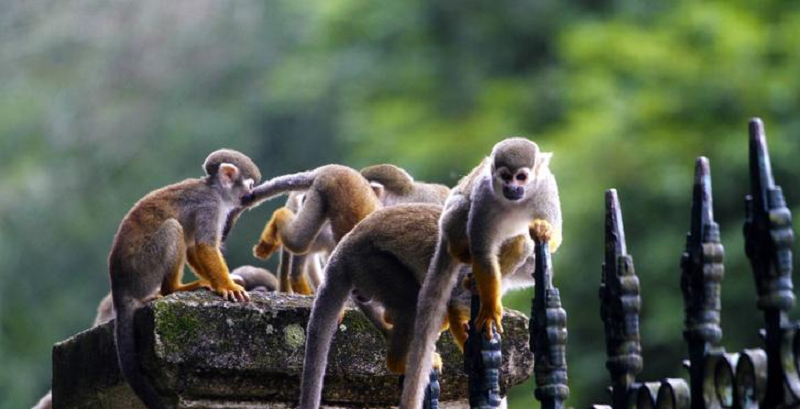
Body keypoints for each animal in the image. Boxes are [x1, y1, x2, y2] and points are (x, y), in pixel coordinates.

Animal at [109, 149, 260, 409]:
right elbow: (204, 246)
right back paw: (174, 288)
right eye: (249, 185)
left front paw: (218, 282)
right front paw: (227, 286)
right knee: (172, 228)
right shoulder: (210, 206)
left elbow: (193, 248)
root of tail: (120, 290)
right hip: (145, 268)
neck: (215, 190)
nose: (250, 196)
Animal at [399, 137, 562, 409]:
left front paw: (545, 230)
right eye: (505, 176)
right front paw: (489, 310)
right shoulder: (485, 195)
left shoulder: (546, 188)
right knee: (463, 206)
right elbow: (483, 252)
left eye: (521, 177)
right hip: (449, 222)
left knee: (522, 243)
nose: (512, 188)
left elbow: (554, 240)